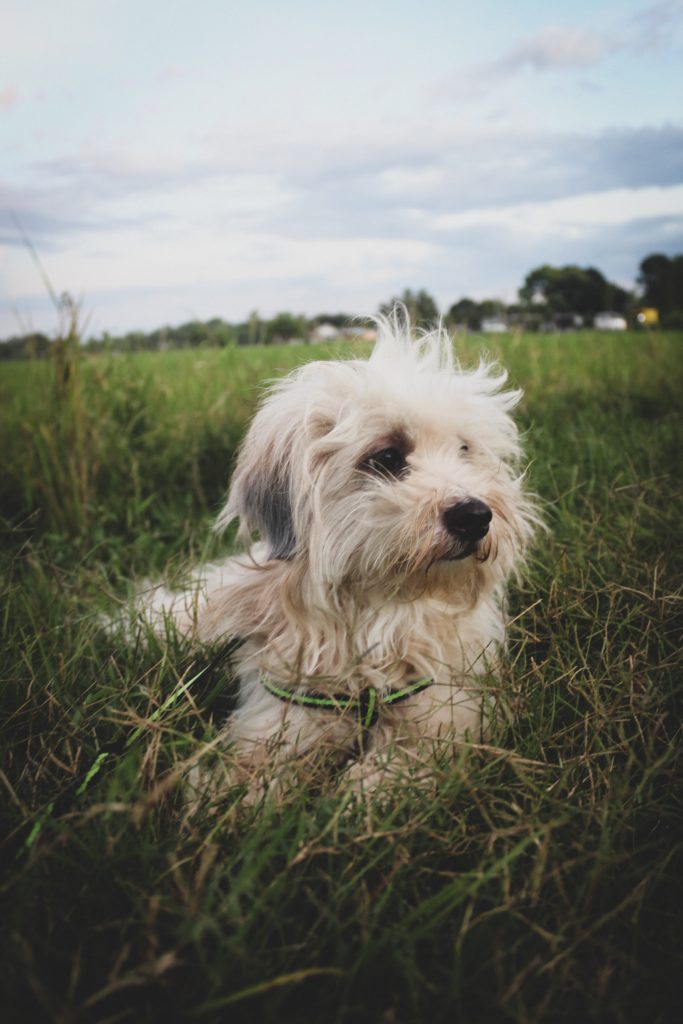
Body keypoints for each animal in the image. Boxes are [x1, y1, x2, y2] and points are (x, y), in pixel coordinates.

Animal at [133, 315, 540, 802]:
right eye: (387, 456)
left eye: (464, 449)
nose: (476, 516)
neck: (377, 614)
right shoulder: (285, 704)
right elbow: (260, 761)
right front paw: (235, 799)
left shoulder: (449, 705)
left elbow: (402, 763)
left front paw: (354, 798)